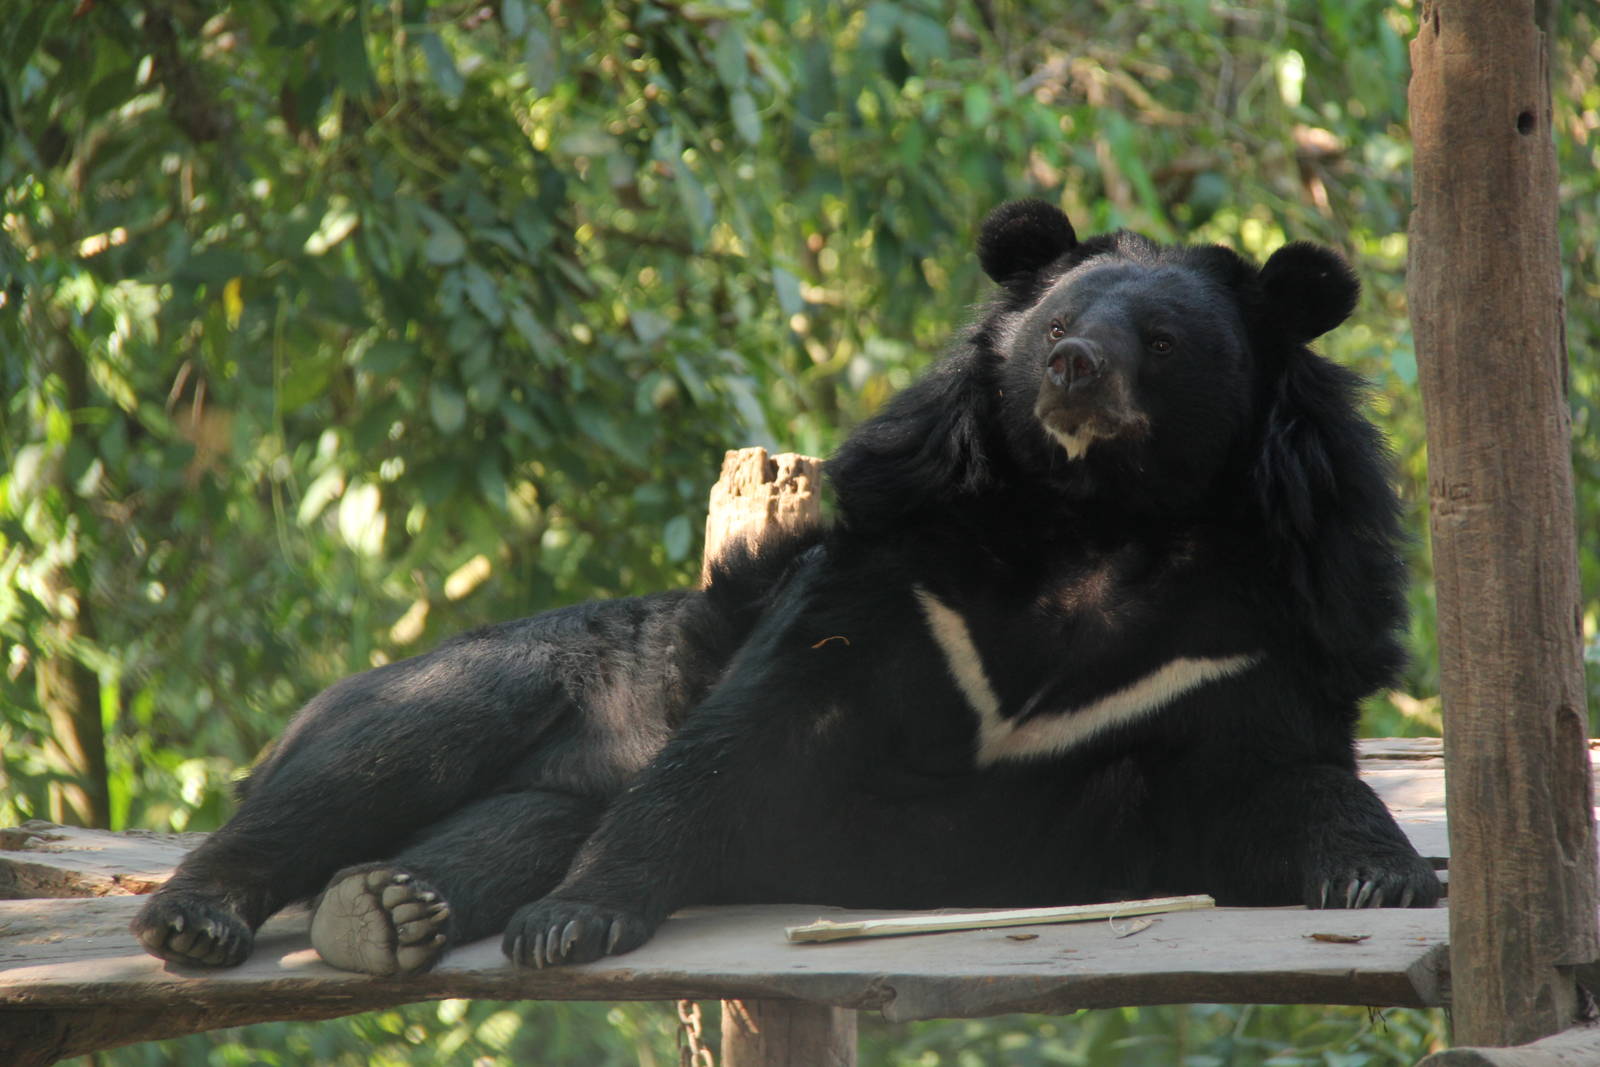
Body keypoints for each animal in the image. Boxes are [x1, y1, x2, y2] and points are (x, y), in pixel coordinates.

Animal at [132, 199, 1440, 977]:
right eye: (1058, 319)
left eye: (1161, 343)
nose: (1071, 366)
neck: (1097, 518)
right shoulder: (905, 573)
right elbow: (743, 732)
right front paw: (574, 920)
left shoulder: (1257, 632)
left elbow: (1281, 779)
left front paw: (1383, 871)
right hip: (504, 671)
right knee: (372, 758)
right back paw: (204, 912)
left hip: (551, 778)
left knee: (508, 821)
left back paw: (393, 906)